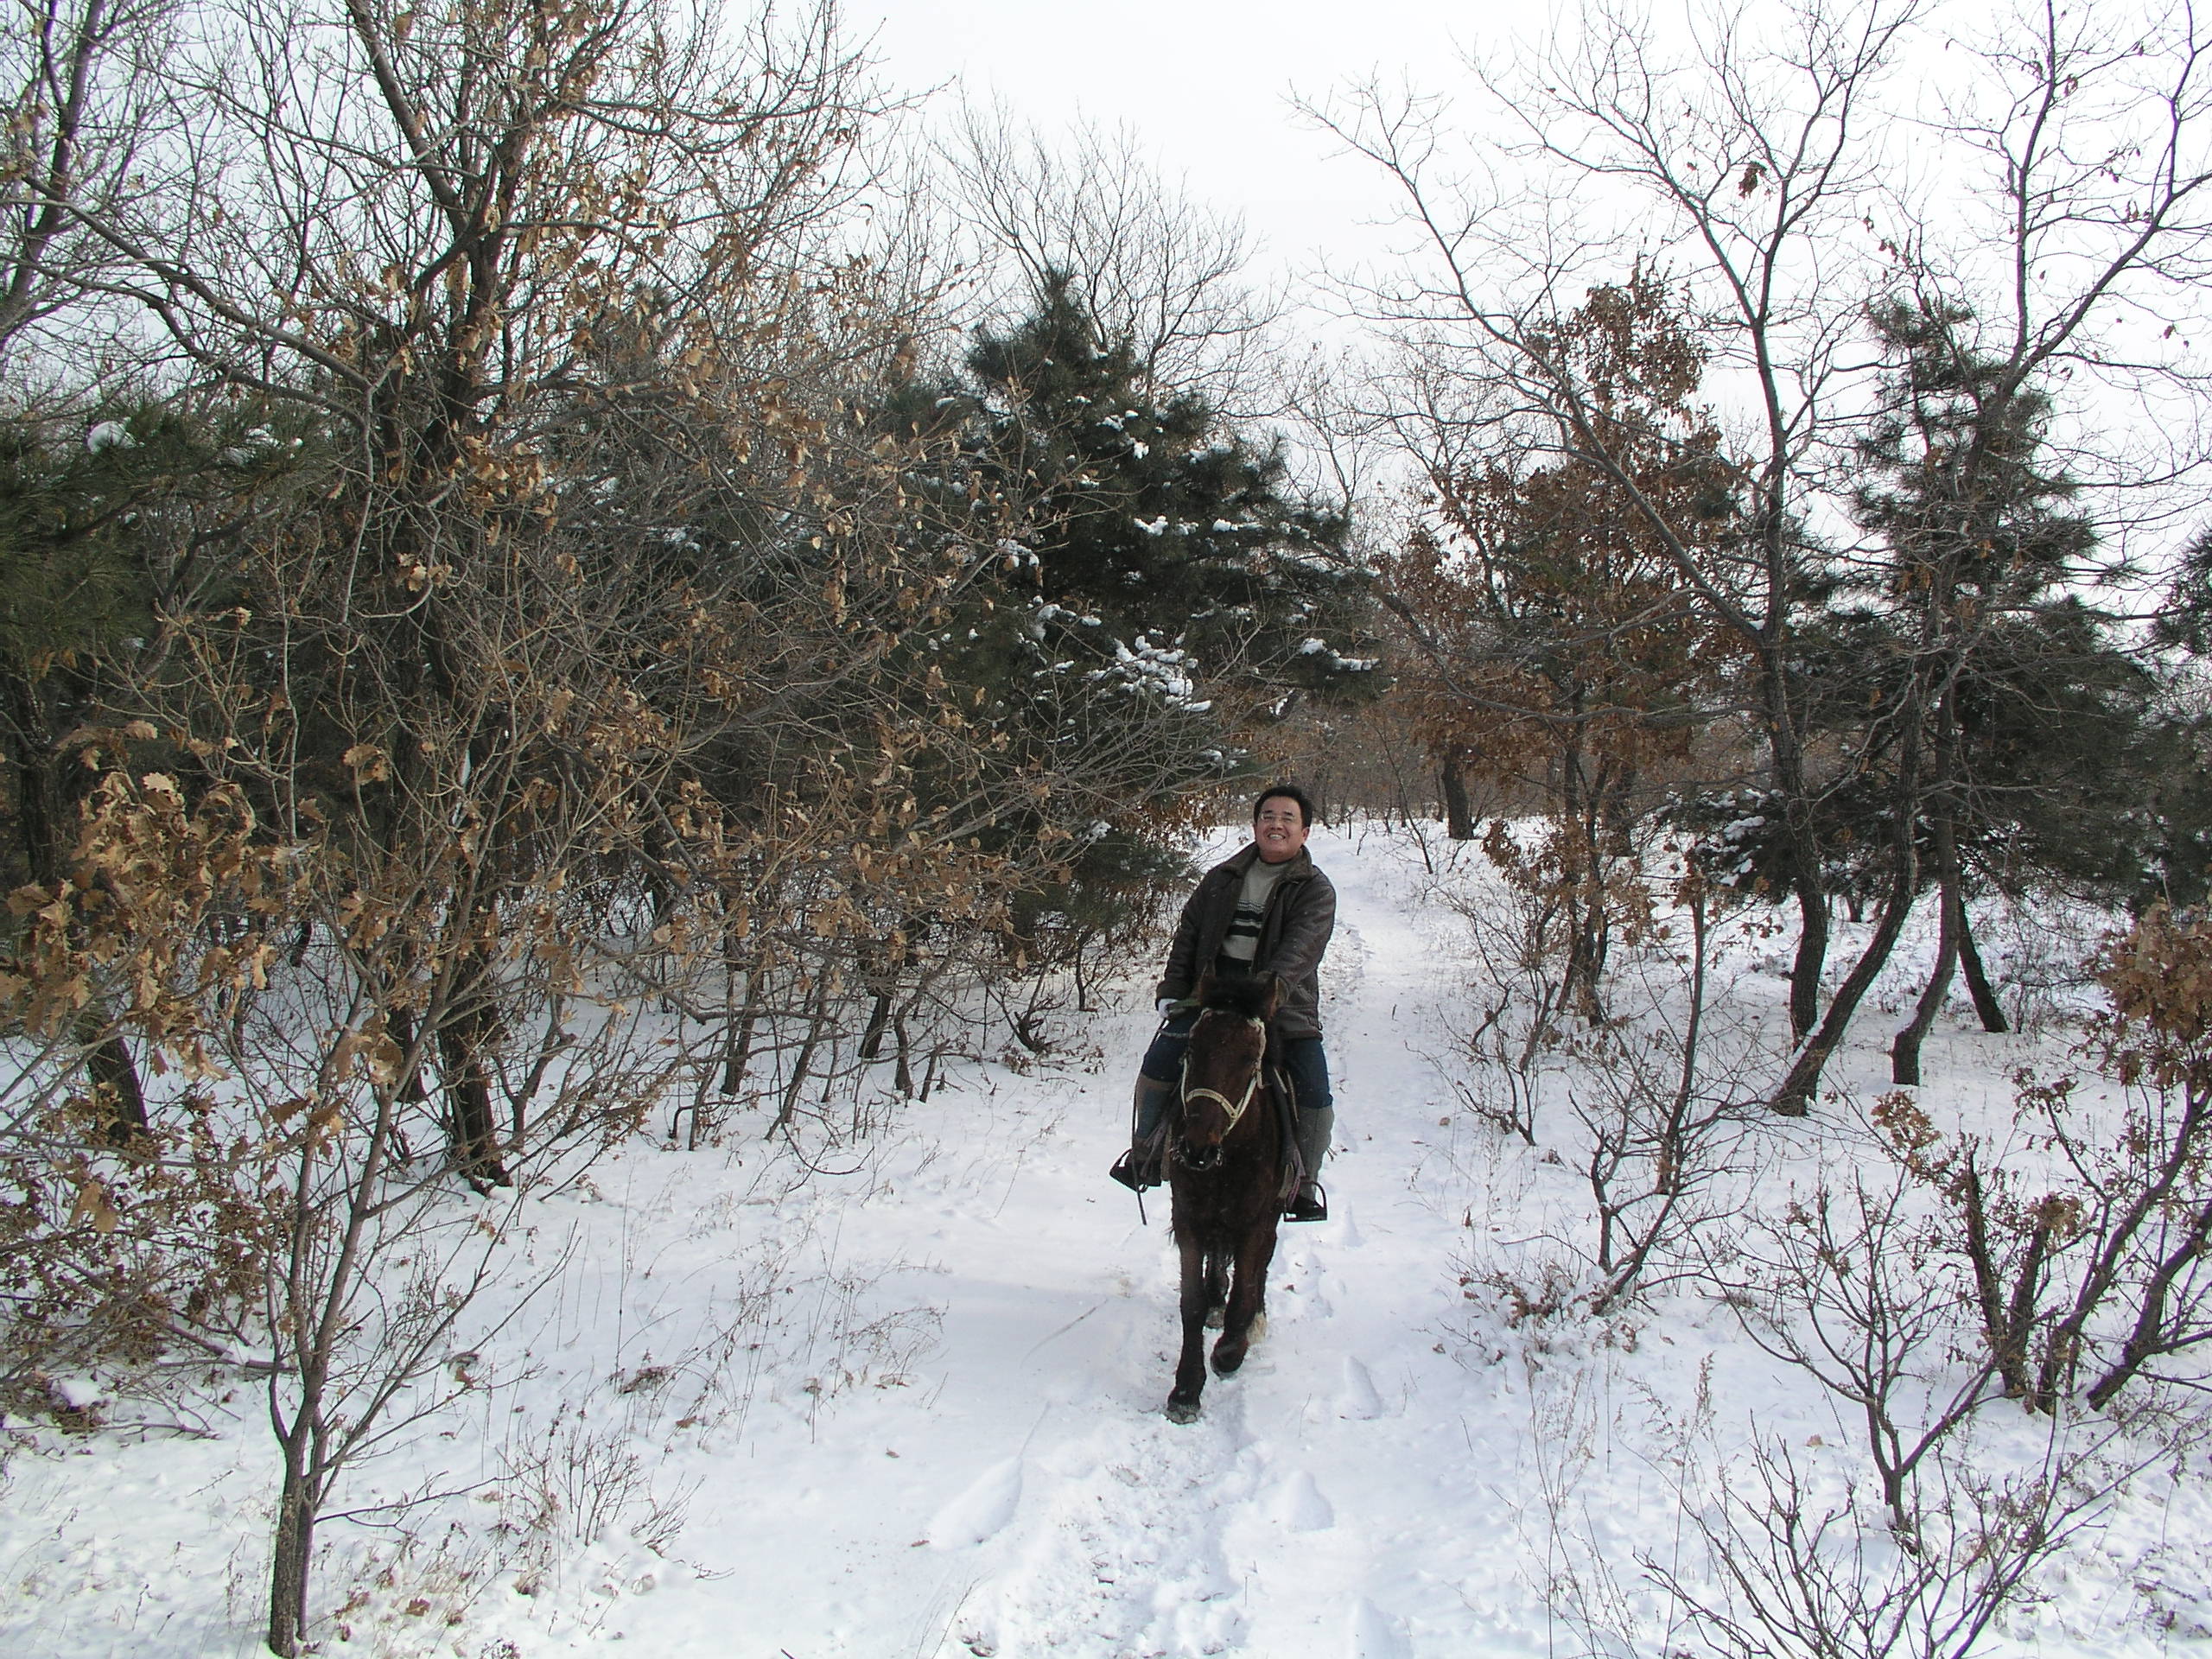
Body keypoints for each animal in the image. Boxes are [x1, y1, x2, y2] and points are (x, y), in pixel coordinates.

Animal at [1167, 973, 1292, 1433]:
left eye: (1249, 1059)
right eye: (1191, 1049)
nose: (1196, 1150)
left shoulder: (1257, 1222)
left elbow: (1247, 1285)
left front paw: (1230, 1350)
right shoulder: (1187, 1217)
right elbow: (1190, 1303)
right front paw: (1186, 1391)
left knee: (1259, 1270)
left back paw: (1253, 1321)